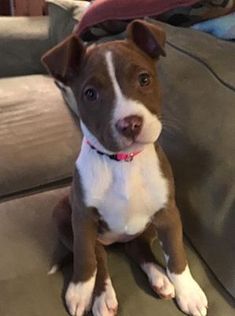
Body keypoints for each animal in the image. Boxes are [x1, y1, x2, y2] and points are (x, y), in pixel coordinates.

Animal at [41, 19, 207, 316]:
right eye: (90, 94)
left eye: (144, 79)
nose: (130, 124)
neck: (123, 163)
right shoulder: (82, 218)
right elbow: (86, 258)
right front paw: (79, 290)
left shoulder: (168, 213)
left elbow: (176, 255)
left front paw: (188, 292)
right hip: (62, 215)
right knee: (99, 256)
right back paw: (102, 297)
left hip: (147, 227)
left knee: (137, 248)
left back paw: (160, 278)